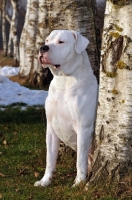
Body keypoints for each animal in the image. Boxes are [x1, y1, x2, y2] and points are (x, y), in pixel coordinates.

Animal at [34, 30, 98, 188]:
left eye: (61, 42)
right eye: (47, 40)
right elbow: (50, 159)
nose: (43, 48)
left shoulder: (83, 129)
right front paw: (45, 181)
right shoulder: (51, 128)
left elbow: (79, 161)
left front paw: (78, 183)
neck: (63, 80)